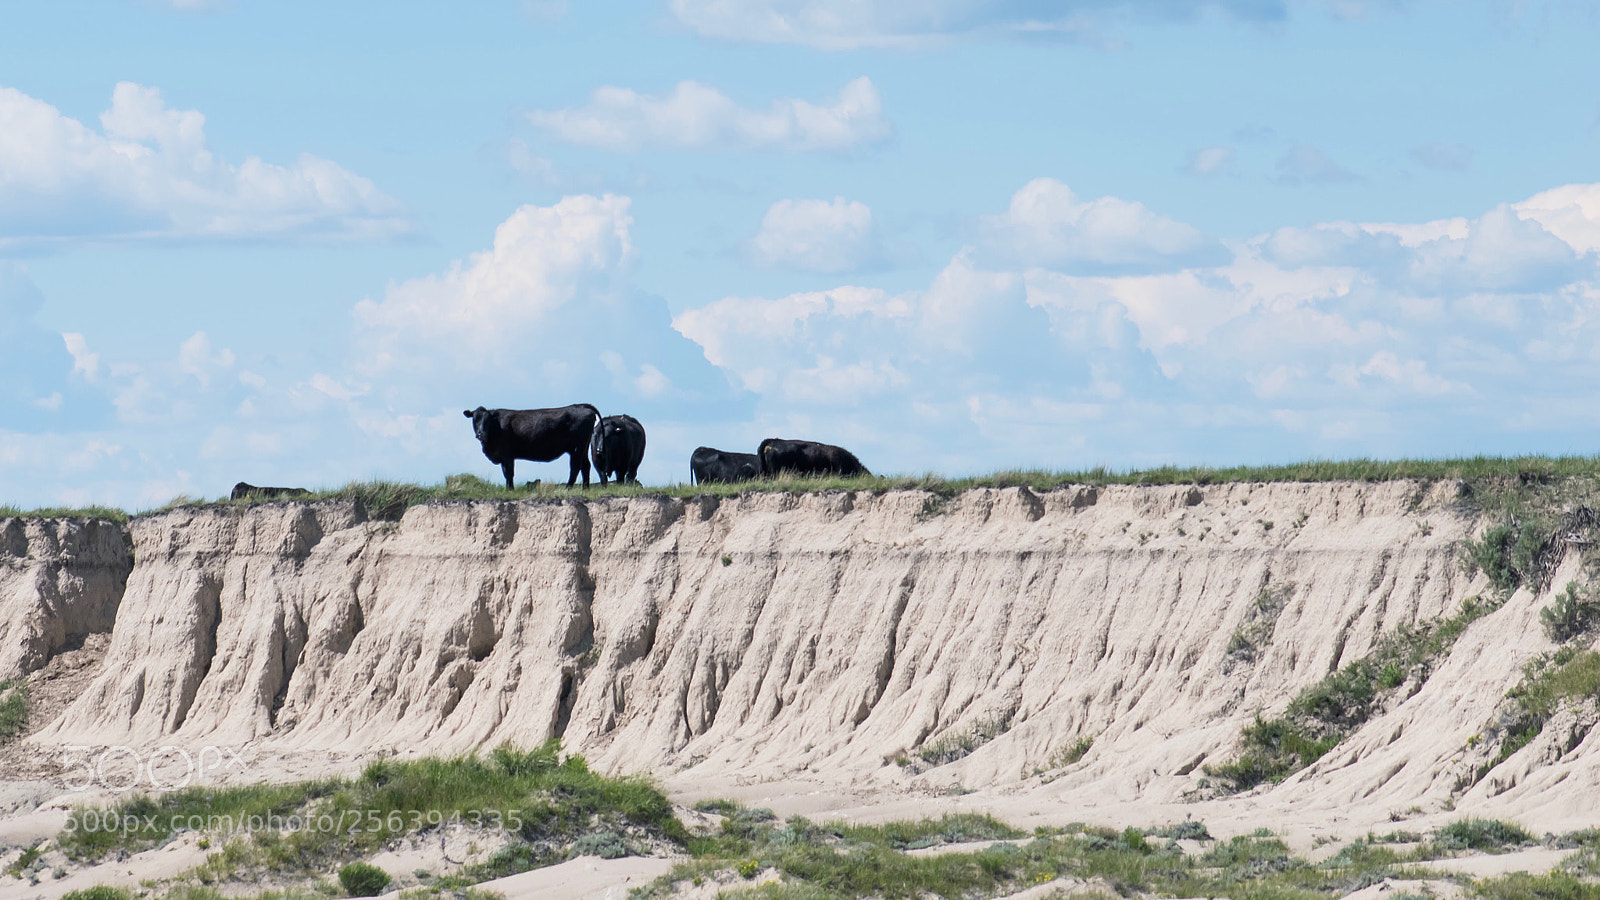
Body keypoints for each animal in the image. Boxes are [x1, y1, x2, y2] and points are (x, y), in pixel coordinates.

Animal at [463, 404, 601, 489]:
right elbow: (506, 472)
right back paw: (585, 488)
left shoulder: (507, 455)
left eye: (487, 421)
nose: (480, 434)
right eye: (475, 419)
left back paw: (568, 488)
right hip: (582, 448)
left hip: (576, 448)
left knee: (575, 467)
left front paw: (510, 489)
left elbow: (509, 472)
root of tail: (580, 406)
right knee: (586, 466)